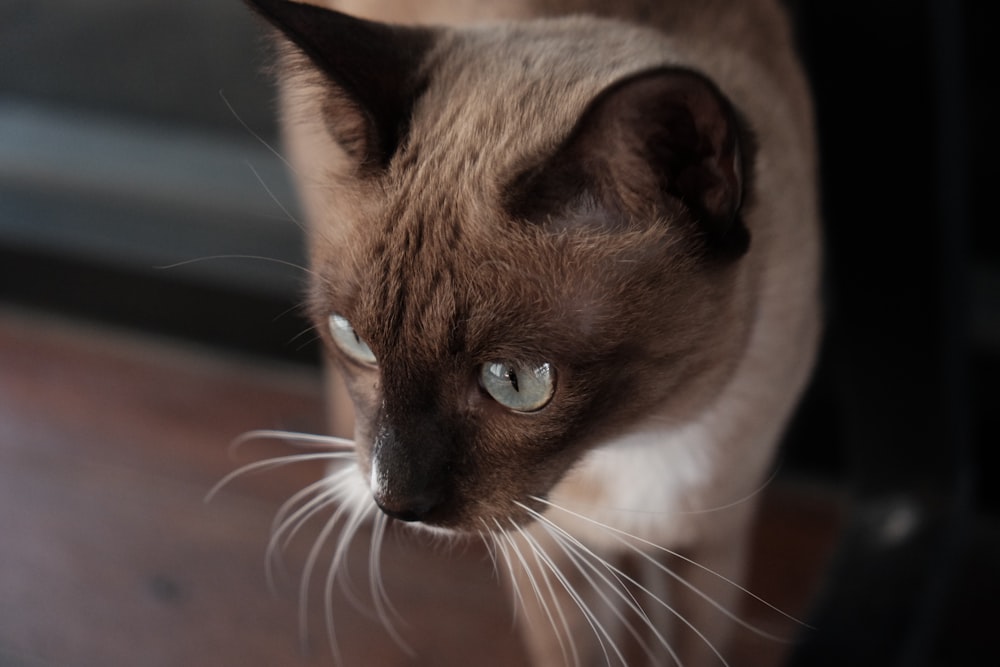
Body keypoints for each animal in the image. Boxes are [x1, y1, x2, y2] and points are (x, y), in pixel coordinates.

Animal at [232, 0, 820, 664]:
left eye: (515, 381)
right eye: (355, 341)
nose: (397, 504)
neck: (635, 437)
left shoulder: (711, 545)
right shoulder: (549, 550)